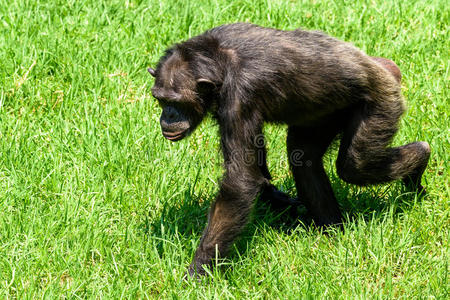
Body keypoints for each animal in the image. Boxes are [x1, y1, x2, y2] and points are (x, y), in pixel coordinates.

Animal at [147, 23, 428, 276]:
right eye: (159, 99)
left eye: (176, 102)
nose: (167, 115)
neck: (219, 61)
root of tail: (384, 66)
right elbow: (255, 161)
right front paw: (278, 200)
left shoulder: (239, 97)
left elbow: (240, 182)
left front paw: (199, 269)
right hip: (323, 114)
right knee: (303, 157)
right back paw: (331, 230)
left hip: (382, 103)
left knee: (355, 165)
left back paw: (419, 163)